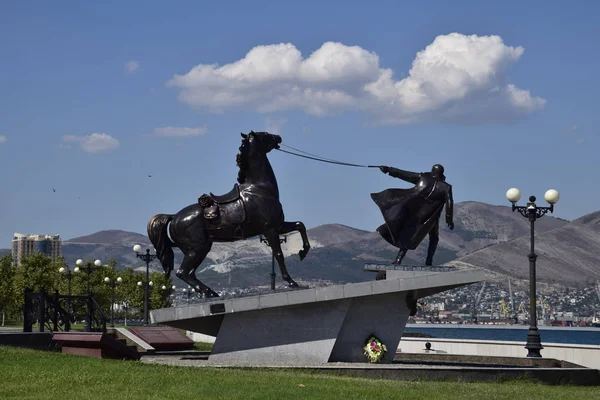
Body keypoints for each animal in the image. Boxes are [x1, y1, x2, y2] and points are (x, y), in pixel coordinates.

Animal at [148, 131, 312, 296]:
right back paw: (208, 292)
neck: (259, 189)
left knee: (189, 273)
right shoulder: (269, 229)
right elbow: (279, 254)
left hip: (199, 248)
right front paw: (291, 282)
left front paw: (303, 251)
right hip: (196, 248)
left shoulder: (279, 226)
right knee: (182, 272)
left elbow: (300, 225)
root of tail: (174, 217)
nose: (278, 137)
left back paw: (210, 292)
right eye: (265, 134)